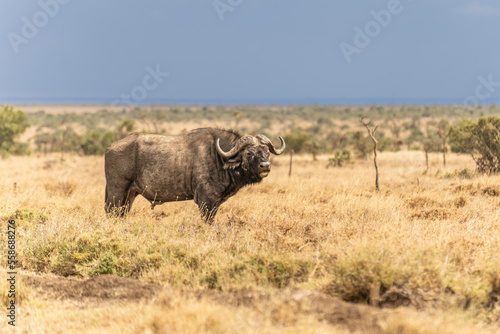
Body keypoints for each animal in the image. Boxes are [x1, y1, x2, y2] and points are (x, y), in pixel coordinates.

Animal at [104, 127, 286, 219]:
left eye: (266, 152)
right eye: (248, 153)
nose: (265, 166)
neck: (219, 158)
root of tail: (110, 147)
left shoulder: (215, 203)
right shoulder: (206, 201)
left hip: (129, 196)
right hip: (116, 192)